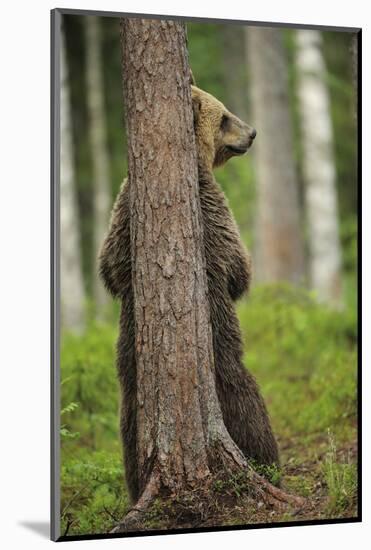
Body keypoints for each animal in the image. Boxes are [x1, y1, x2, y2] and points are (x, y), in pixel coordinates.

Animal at [99, 81, 280, 504]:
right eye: (225, 116)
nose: (252, 133)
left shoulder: (121, 211)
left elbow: (110, 268)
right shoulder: (212, 206)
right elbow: (237, 266)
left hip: (130, 381)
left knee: (129, 430)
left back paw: (136, 483)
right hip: (223, 356)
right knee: (247, 402)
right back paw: (269, 464)